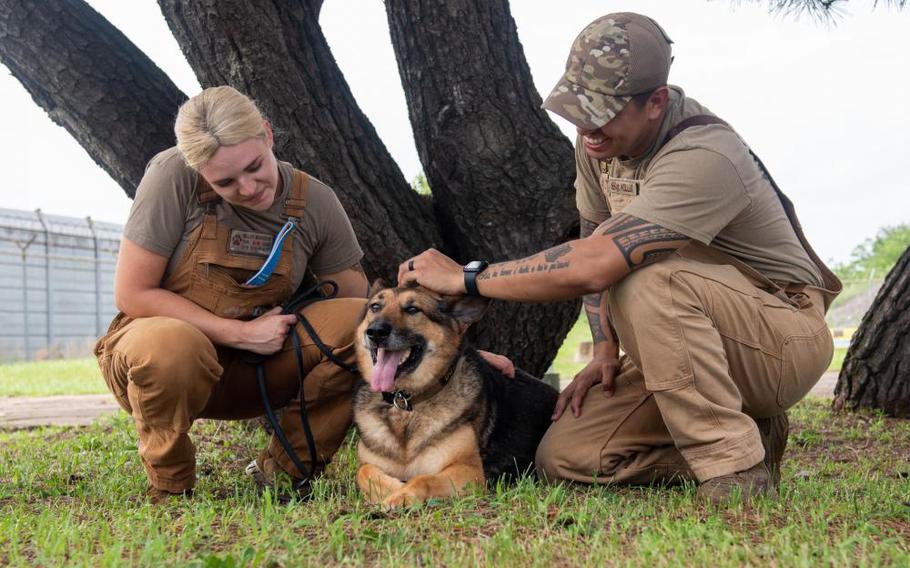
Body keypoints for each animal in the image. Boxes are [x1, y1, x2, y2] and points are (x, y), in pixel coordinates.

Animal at [352, 286, 560, 508]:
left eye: (412, 309)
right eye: (375, 307)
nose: (375, 332)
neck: (404, 404)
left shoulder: (469, 472)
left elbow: (424, 479)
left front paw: (403, 495)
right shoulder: (369, 464)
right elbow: (363, 472)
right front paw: (393, 489)